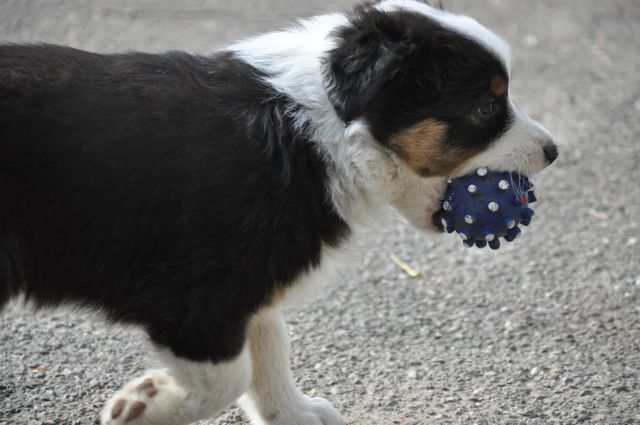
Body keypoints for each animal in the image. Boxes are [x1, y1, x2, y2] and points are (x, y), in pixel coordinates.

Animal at [1, 0, 556, 424]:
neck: (316, 132)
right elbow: (229, 376)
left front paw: (297, 414)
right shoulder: (199, 294)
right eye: (487, 107)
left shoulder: (256, 275)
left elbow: (269, 352)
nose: (554, 152)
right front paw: (145, 405)